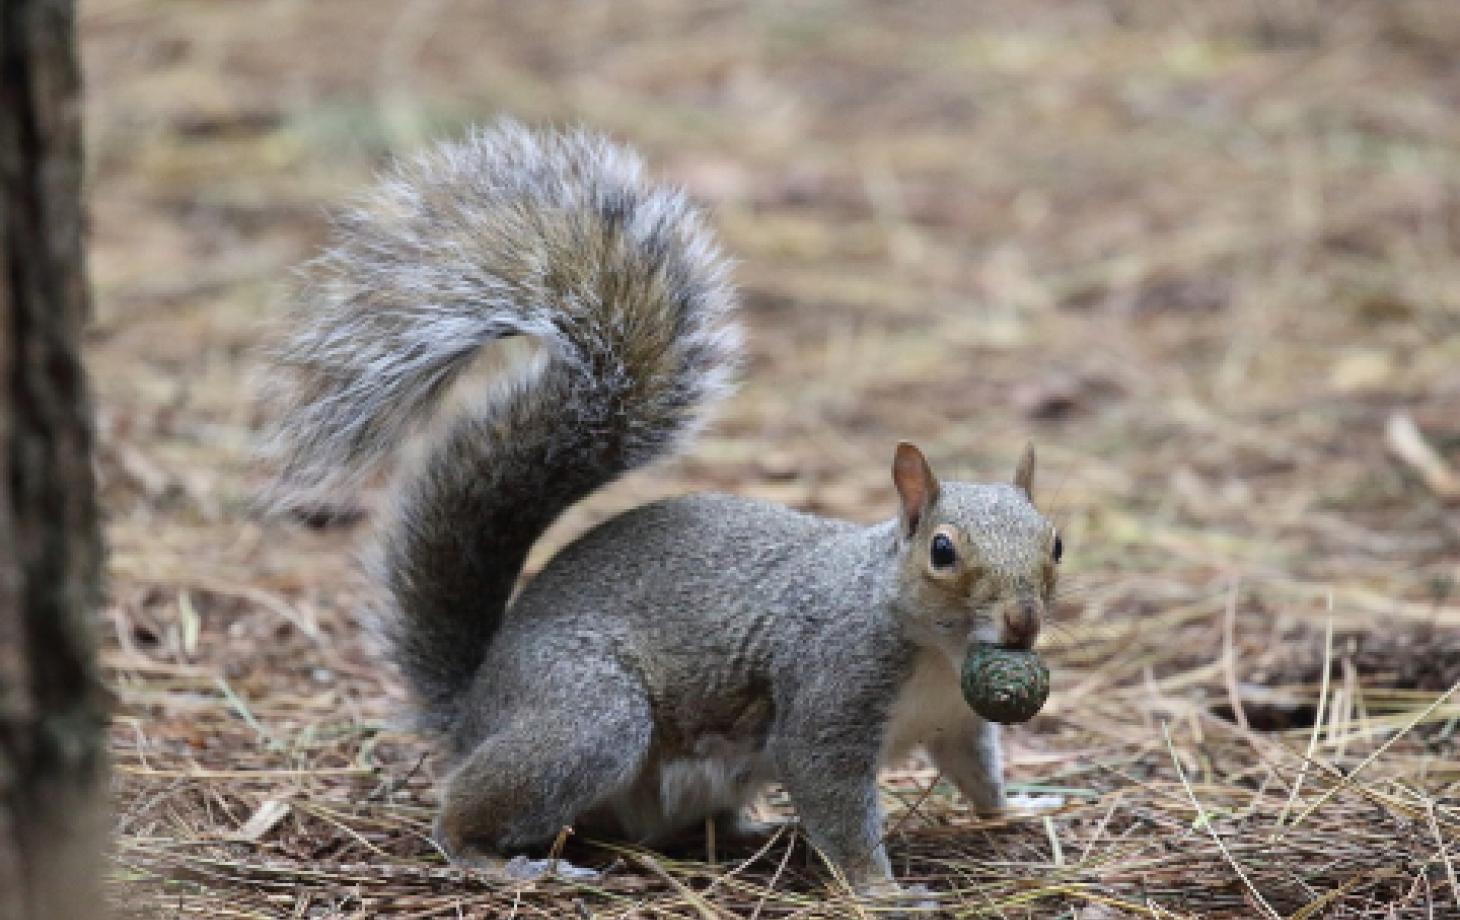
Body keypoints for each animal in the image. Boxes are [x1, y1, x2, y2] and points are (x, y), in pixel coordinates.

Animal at [262, 120, 1062, 899]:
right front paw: (880, 888)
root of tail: (476, 705)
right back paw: (498, 859)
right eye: (942, 551)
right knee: (466, 804)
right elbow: (830, 790)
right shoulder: (831, 689)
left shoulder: (958, 722)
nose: (1022, 622)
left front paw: (1022, 807)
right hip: (589, 715)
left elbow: (978, 776)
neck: (935, 650)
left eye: (1055, 543)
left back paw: (753, 833)